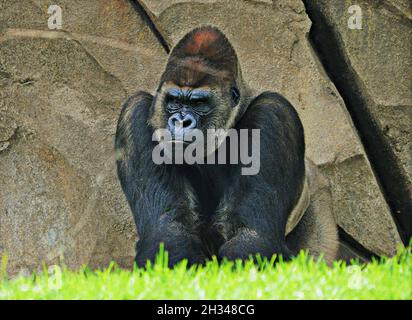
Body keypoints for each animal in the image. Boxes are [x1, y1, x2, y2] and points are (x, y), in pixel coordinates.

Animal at [113, 25, 338, 268]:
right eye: (174, 101)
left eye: (199, 103)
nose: (181, 122)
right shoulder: (134, 110)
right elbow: (167, 230)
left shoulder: (274, 111)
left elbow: (250, 236)